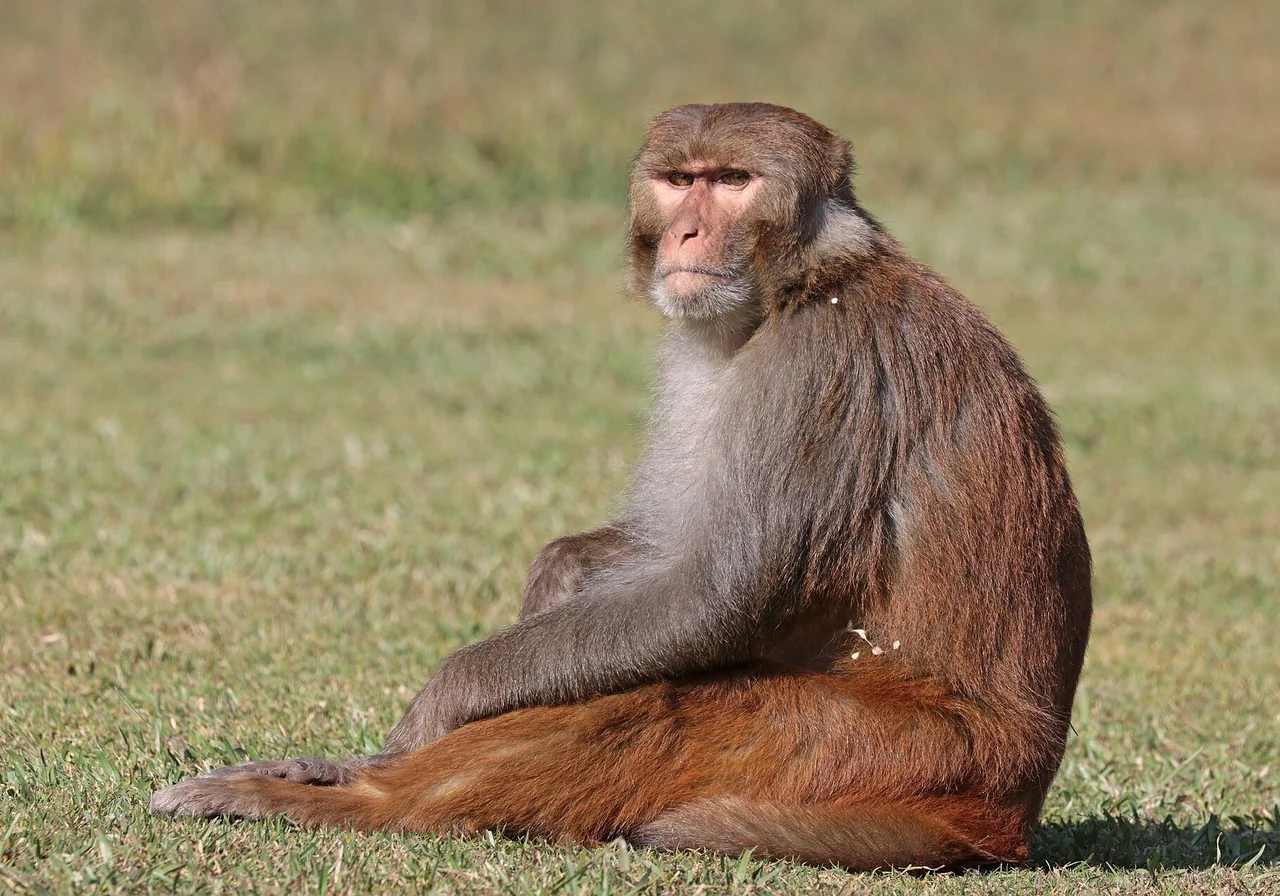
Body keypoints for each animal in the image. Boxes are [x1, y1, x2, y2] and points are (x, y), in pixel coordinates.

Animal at [150, 102, 1092, 871]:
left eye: (733, 182)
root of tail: (1006, 813)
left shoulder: (821, 365)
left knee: (658, 706)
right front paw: (558, 572)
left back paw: (358, 800)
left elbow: (715, 593)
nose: (686, 237)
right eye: (680, 182)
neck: (797, 287)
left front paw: (436, 709)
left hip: (880, 751)